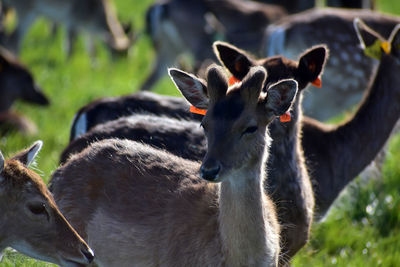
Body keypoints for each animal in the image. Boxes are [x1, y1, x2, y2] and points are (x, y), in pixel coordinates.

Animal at [3, 0, 131, 56]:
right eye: (115, 55)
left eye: (128, 56)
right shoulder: (72, 22)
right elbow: (70, 48)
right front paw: (66, 67)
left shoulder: (88, 30)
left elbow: (92, 50)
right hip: (26, 12)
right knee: (13, 39)